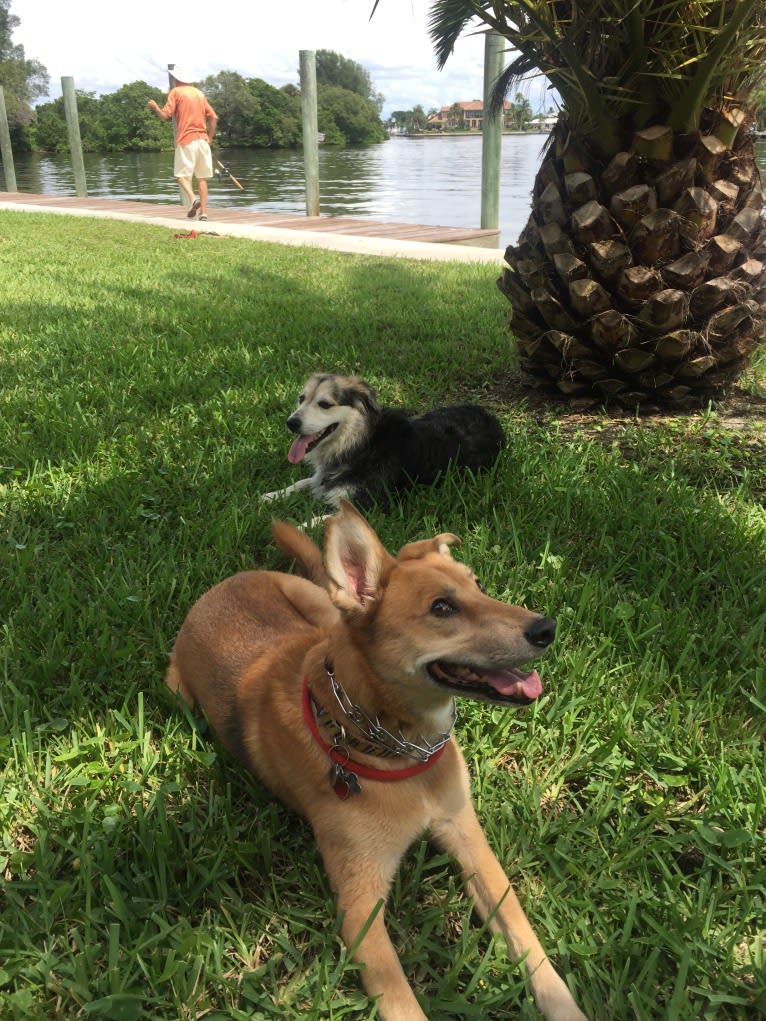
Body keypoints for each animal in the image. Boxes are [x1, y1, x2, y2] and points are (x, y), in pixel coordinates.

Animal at [166, 502, 588, 1021]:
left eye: (478, 585)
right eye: (442, 607)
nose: (546, 628)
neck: (401, 750)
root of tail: (216, 591)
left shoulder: (467, 836)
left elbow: (524, 935)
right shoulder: (360, 903)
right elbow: (403, 1003)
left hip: (321, 609)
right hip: (179, 690)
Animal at [261, 373, 506, 508]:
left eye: (324, 404)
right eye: (301, 399)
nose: (291, 422)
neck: (361, 444)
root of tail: (491, 417)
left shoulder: (367, 505)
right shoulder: (323, 477)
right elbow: (302, 482)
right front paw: (270, 496)